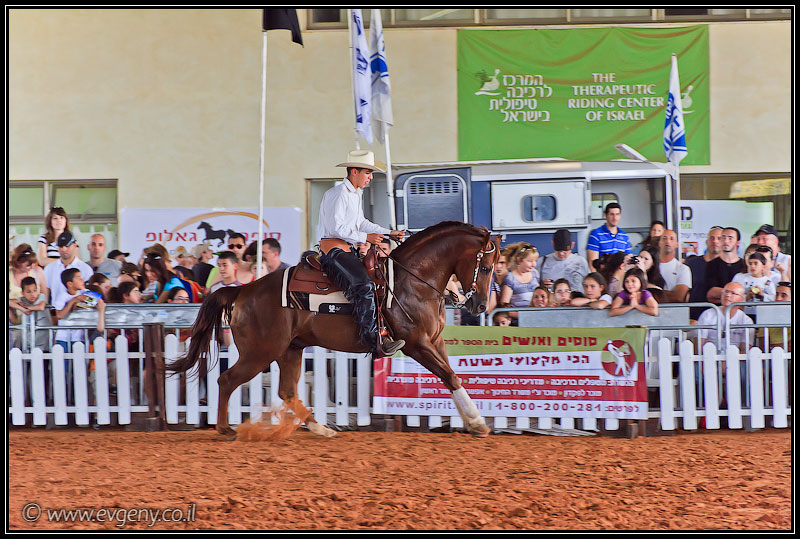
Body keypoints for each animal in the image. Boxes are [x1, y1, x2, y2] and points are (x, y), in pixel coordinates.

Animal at [167, 221, 500, 439]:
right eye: (485, 267)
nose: (481, 305)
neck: (413, 281)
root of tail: (243, 290)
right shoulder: (416, 343)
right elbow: (449, 375)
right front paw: (477, 422)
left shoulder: (435, 341)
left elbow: (451, 375)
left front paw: (472, 420)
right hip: (260, 352)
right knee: (227, 379)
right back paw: (225, 428)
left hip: (290, 349)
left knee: (287, 391)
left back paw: (320, 427)